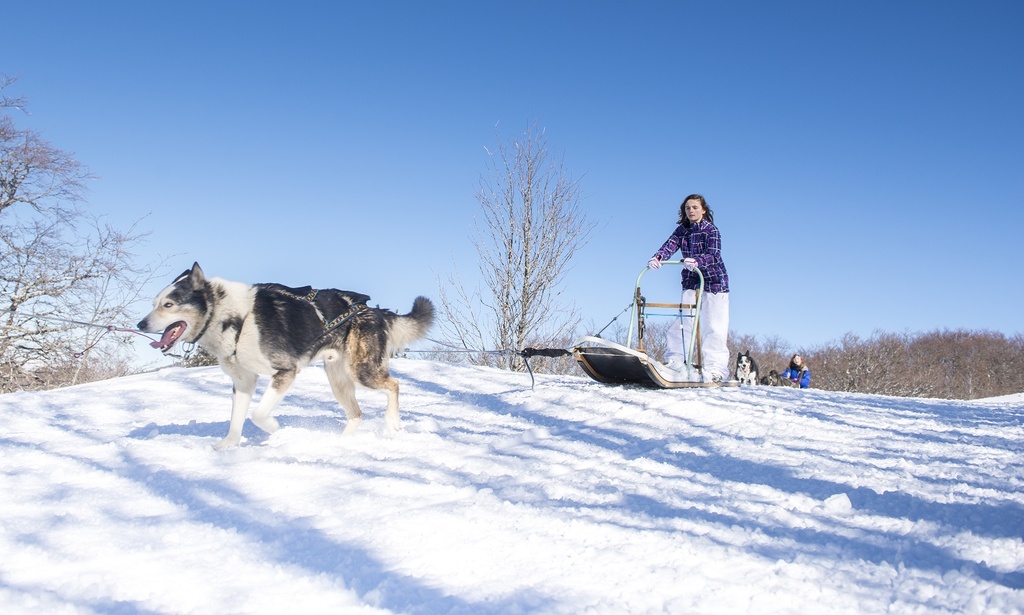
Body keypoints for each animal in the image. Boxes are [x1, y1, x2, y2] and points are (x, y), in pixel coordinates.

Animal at [136, 260, 432, 448]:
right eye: (154, 303)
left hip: (362, 371)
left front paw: (278, 431)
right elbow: (236, 421)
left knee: (394, 384)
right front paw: (228, 447)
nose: (140, 324)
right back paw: (342, 443)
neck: (233, 317)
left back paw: (392, 424)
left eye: (168, 304)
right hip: (338, 381)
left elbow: (258, 415)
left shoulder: (285, 372)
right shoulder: (243, 382)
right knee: (356, 414)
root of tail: (373, 310)